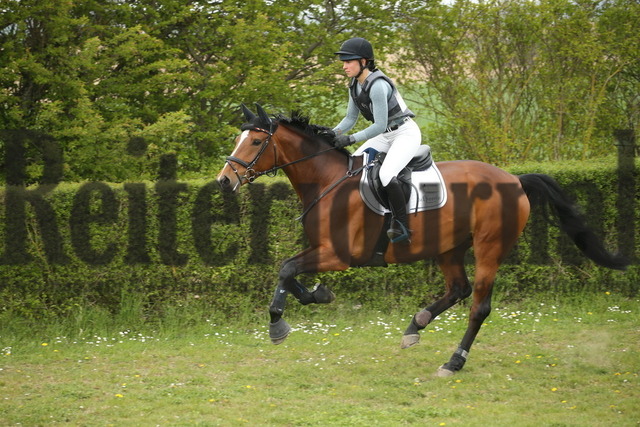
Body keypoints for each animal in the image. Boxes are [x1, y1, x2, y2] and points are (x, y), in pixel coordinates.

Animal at [218, 104, 628, 378]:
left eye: (256, 140)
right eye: (239, 137)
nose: (224, 180)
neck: (327, 181)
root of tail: (515, 179)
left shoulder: (339, 254)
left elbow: (287, 269)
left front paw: (280, 323)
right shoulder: (322, 250)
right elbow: (288, 271)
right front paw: (316, 296)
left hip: (490, 247)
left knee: (478, 306)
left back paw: (453, 361)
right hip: (449, 247)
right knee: (458, 289)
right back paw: (416, 325)